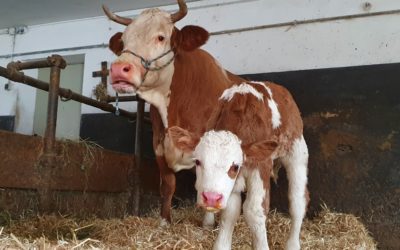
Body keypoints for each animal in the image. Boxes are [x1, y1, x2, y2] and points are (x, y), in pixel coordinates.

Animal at [102, 0, 244, 225]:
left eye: (161, 37)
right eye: (123, 41)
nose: (118, 69)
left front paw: (207, 225)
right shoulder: (159, 146)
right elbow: (168, 186)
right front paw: (164, 222)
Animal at [169, 81, 310, 249]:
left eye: (234, 166)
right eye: (197, 161)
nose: (211, 198)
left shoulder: (261, 166)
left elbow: (254, 211)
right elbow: (230, 212)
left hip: (297, 153)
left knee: (298, 201)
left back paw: (292, 244)